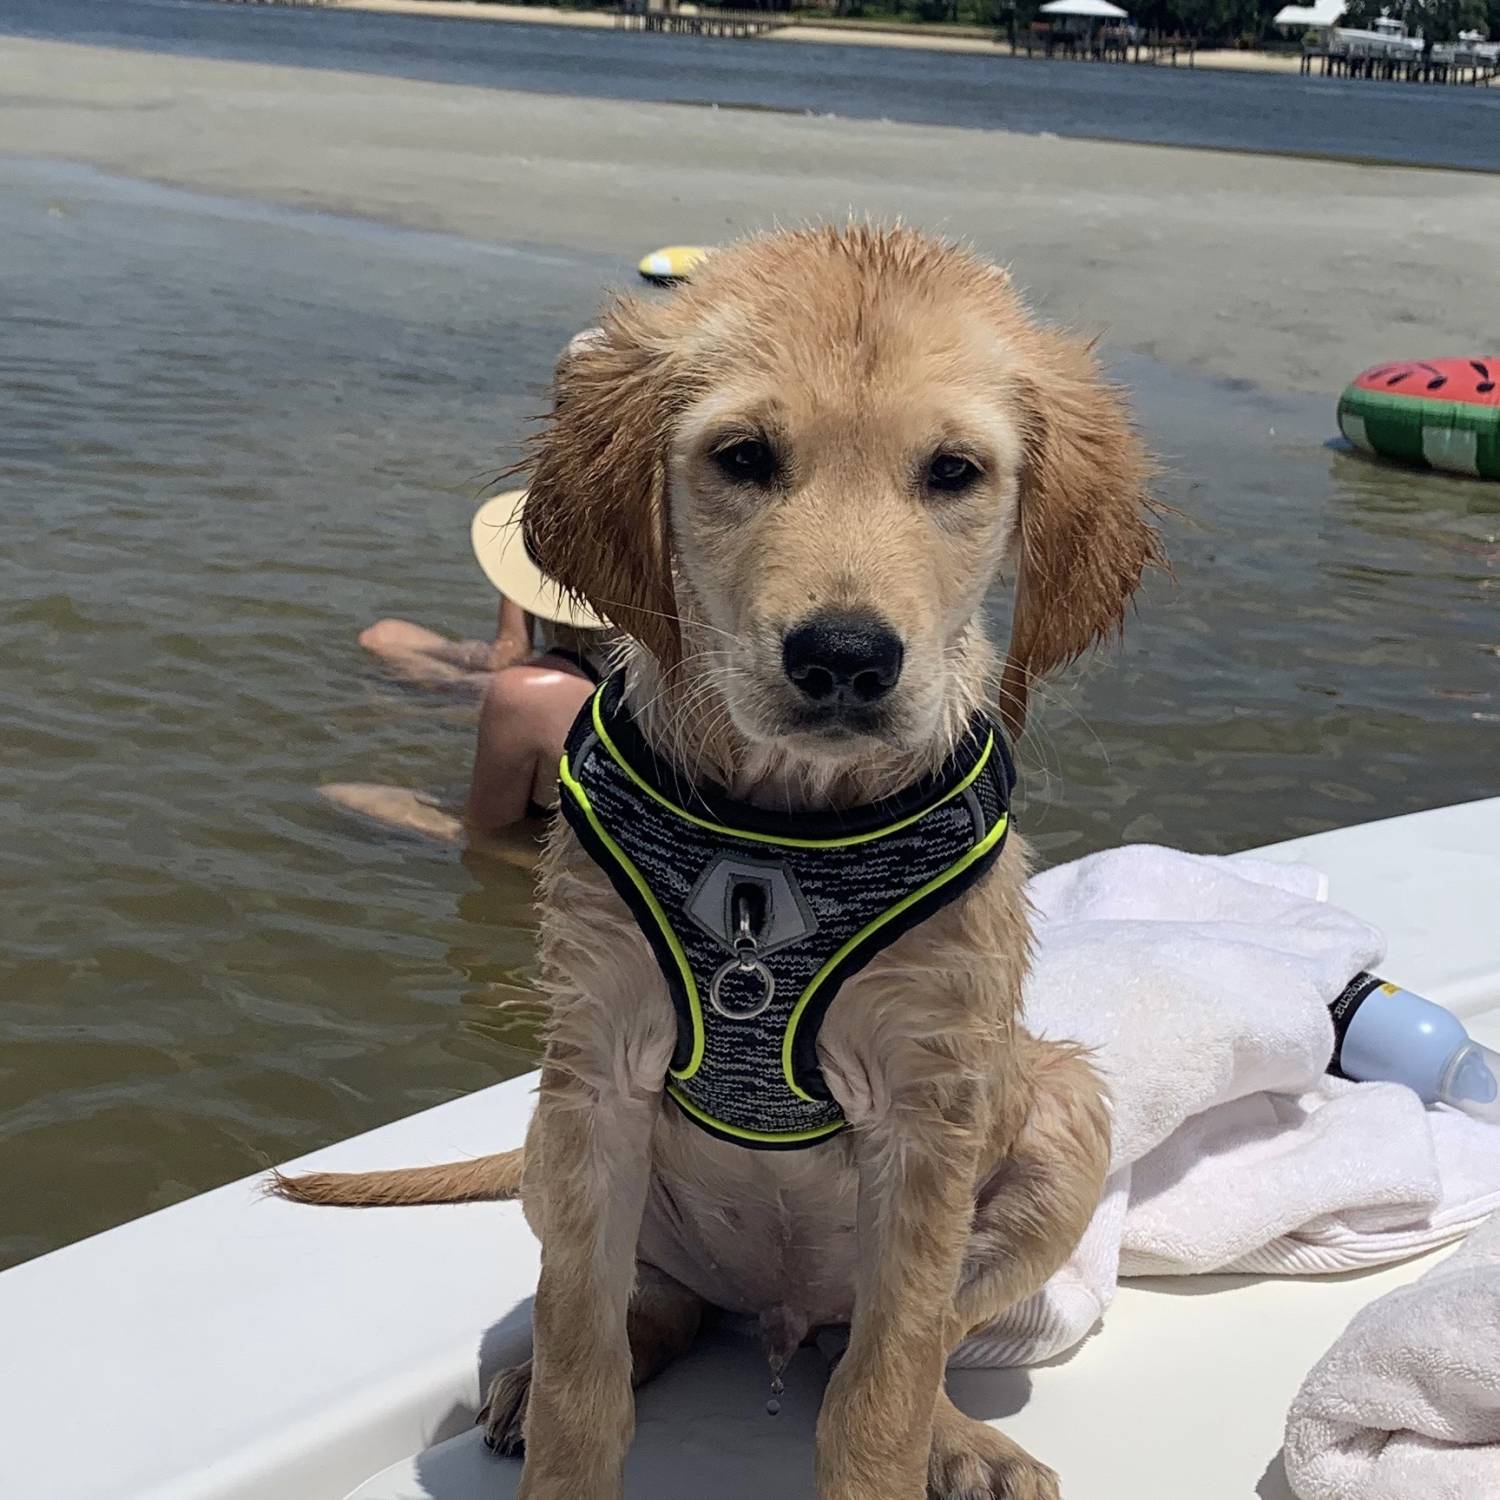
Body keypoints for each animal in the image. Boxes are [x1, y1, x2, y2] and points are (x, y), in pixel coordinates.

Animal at [283, 225, 1170, 1500]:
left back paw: (961, 1436)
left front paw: (904, 1447)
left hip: (1060, 1115)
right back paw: (539, 1381)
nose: (843, 656)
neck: (782, 826)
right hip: (560, 1148)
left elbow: (883, 1396)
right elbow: (584, 1371)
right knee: (643, 1309)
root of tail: (776, 1307)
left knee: (896, 1344)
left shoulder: (930, 1106)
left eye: (954, 472)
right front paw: (562, 1436)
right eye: (743, 457)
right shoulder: (600, 1065)